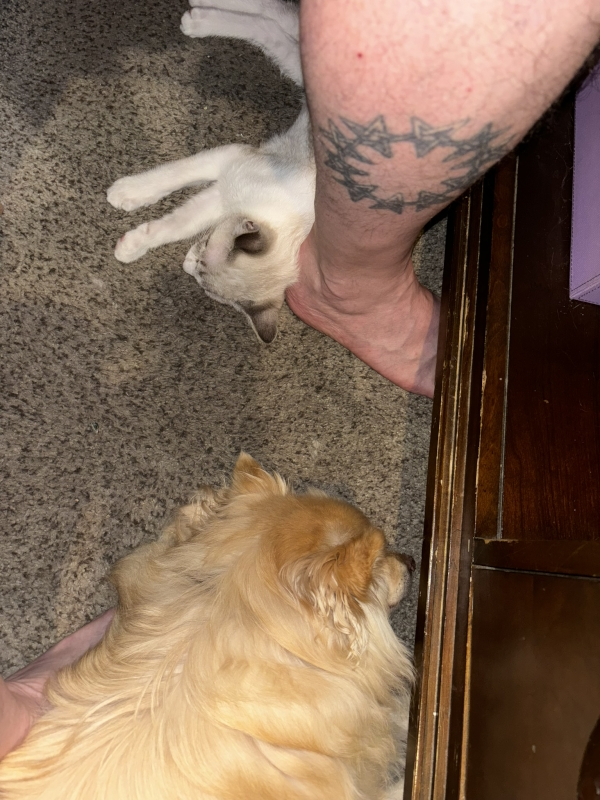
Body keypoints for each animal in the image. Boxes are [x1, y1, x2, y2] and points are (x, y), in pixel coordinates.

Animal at [106, 0, 313, 344]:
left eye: (203, 280)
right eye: (203, 251)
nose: (187, 264)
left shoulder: (221, 198)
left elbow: (173, 225)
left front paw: (131, 246)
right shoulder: (230, 161)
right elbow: (172, 176)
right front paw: (127, 191)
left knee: (272, 25)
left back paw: (200, 16)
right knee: (273, 19)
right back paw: (198, 18)